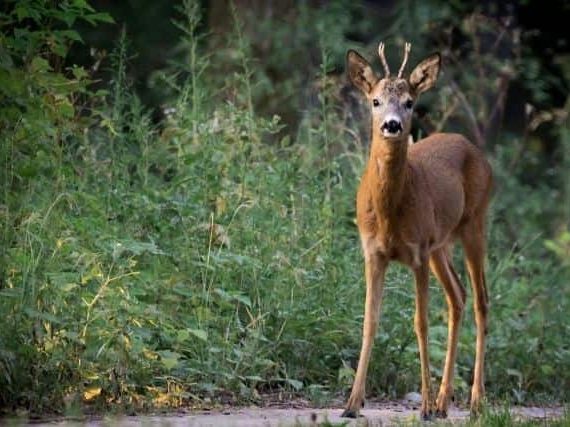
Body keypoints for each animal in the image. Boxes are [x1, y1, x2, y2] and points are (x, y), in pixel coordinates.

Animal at [340, 41, 490, 420]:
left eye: (409, 102)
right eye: (375, 101)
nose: (392, 125)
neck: (390, 214)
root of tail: (475, 149)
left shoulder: (418, 251)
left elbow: (420, 323)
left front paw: (422, 405)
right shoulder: (373, 252)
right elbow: (369, 321)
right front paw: (352, 403)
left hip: (475, 223)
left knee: (481, 300)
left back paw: (474, 401)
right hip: (441, 245)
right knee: (458, 296)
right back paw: (443, 401)